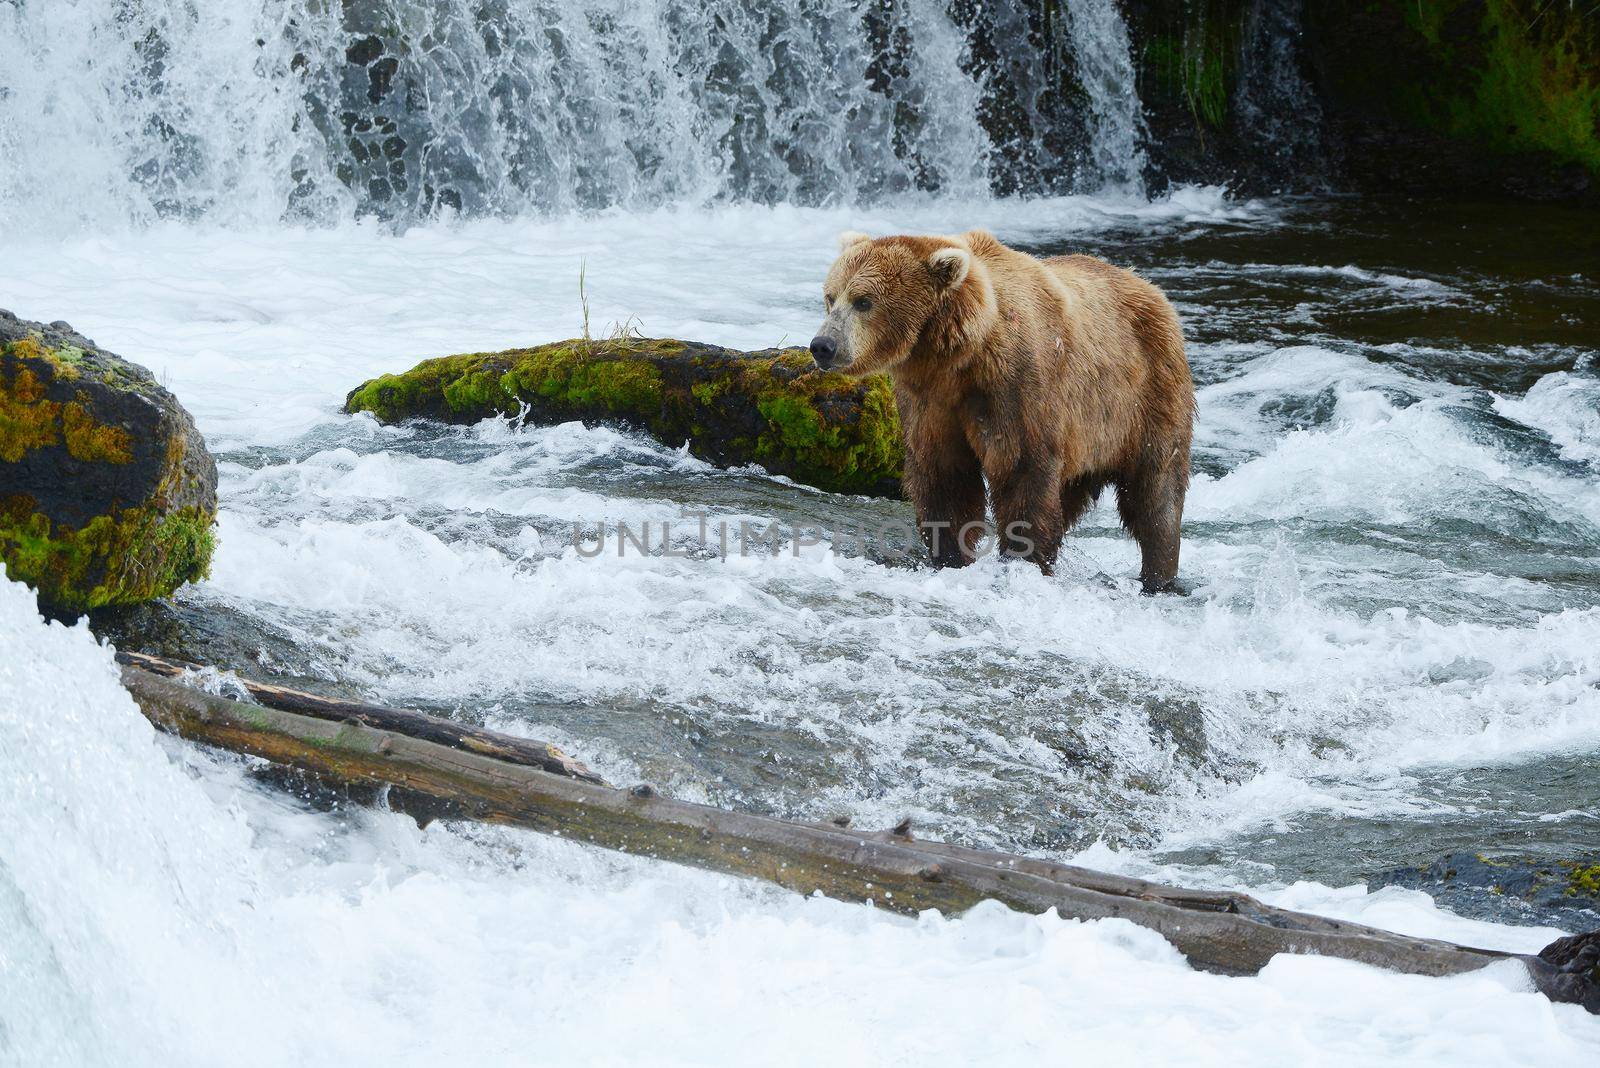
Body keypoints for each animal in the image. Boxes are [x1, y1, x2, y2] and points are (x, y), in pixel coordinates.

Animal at [806, 230, 1196, 591]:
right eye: (830, 296)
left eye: (863, 300)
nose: (823, 345)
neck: (958, 355)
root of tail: (1148, 286)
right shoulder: (931, 402)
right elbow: (943, 474)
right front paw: (949, 555)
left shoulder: (1015, 387)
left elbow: (1021, 469)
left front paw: (1021, 560)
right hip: (1089, 434)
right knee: (1069, 495)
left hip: (1144, 398)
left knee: (1155, 492)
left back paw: (1158, 576)